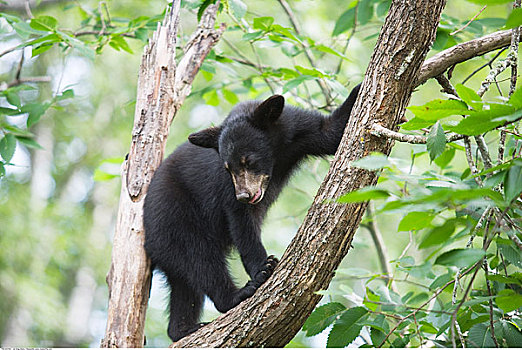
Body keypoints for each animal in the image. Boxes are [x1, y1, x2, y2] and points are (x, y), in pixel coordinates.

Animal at [143, 82, 362, 342]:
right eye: (228, 167)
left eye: (248, 161)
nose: (244, 195)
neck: (276, 154)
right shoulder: (226, 187)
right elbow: (241, 222)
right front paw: (263, 268)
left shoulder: (297, 131)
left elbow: (331, 132)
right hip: (177, 220)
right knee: (202, 260)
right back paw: (235, 295)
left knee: (185, 284)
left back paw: (184, 329)